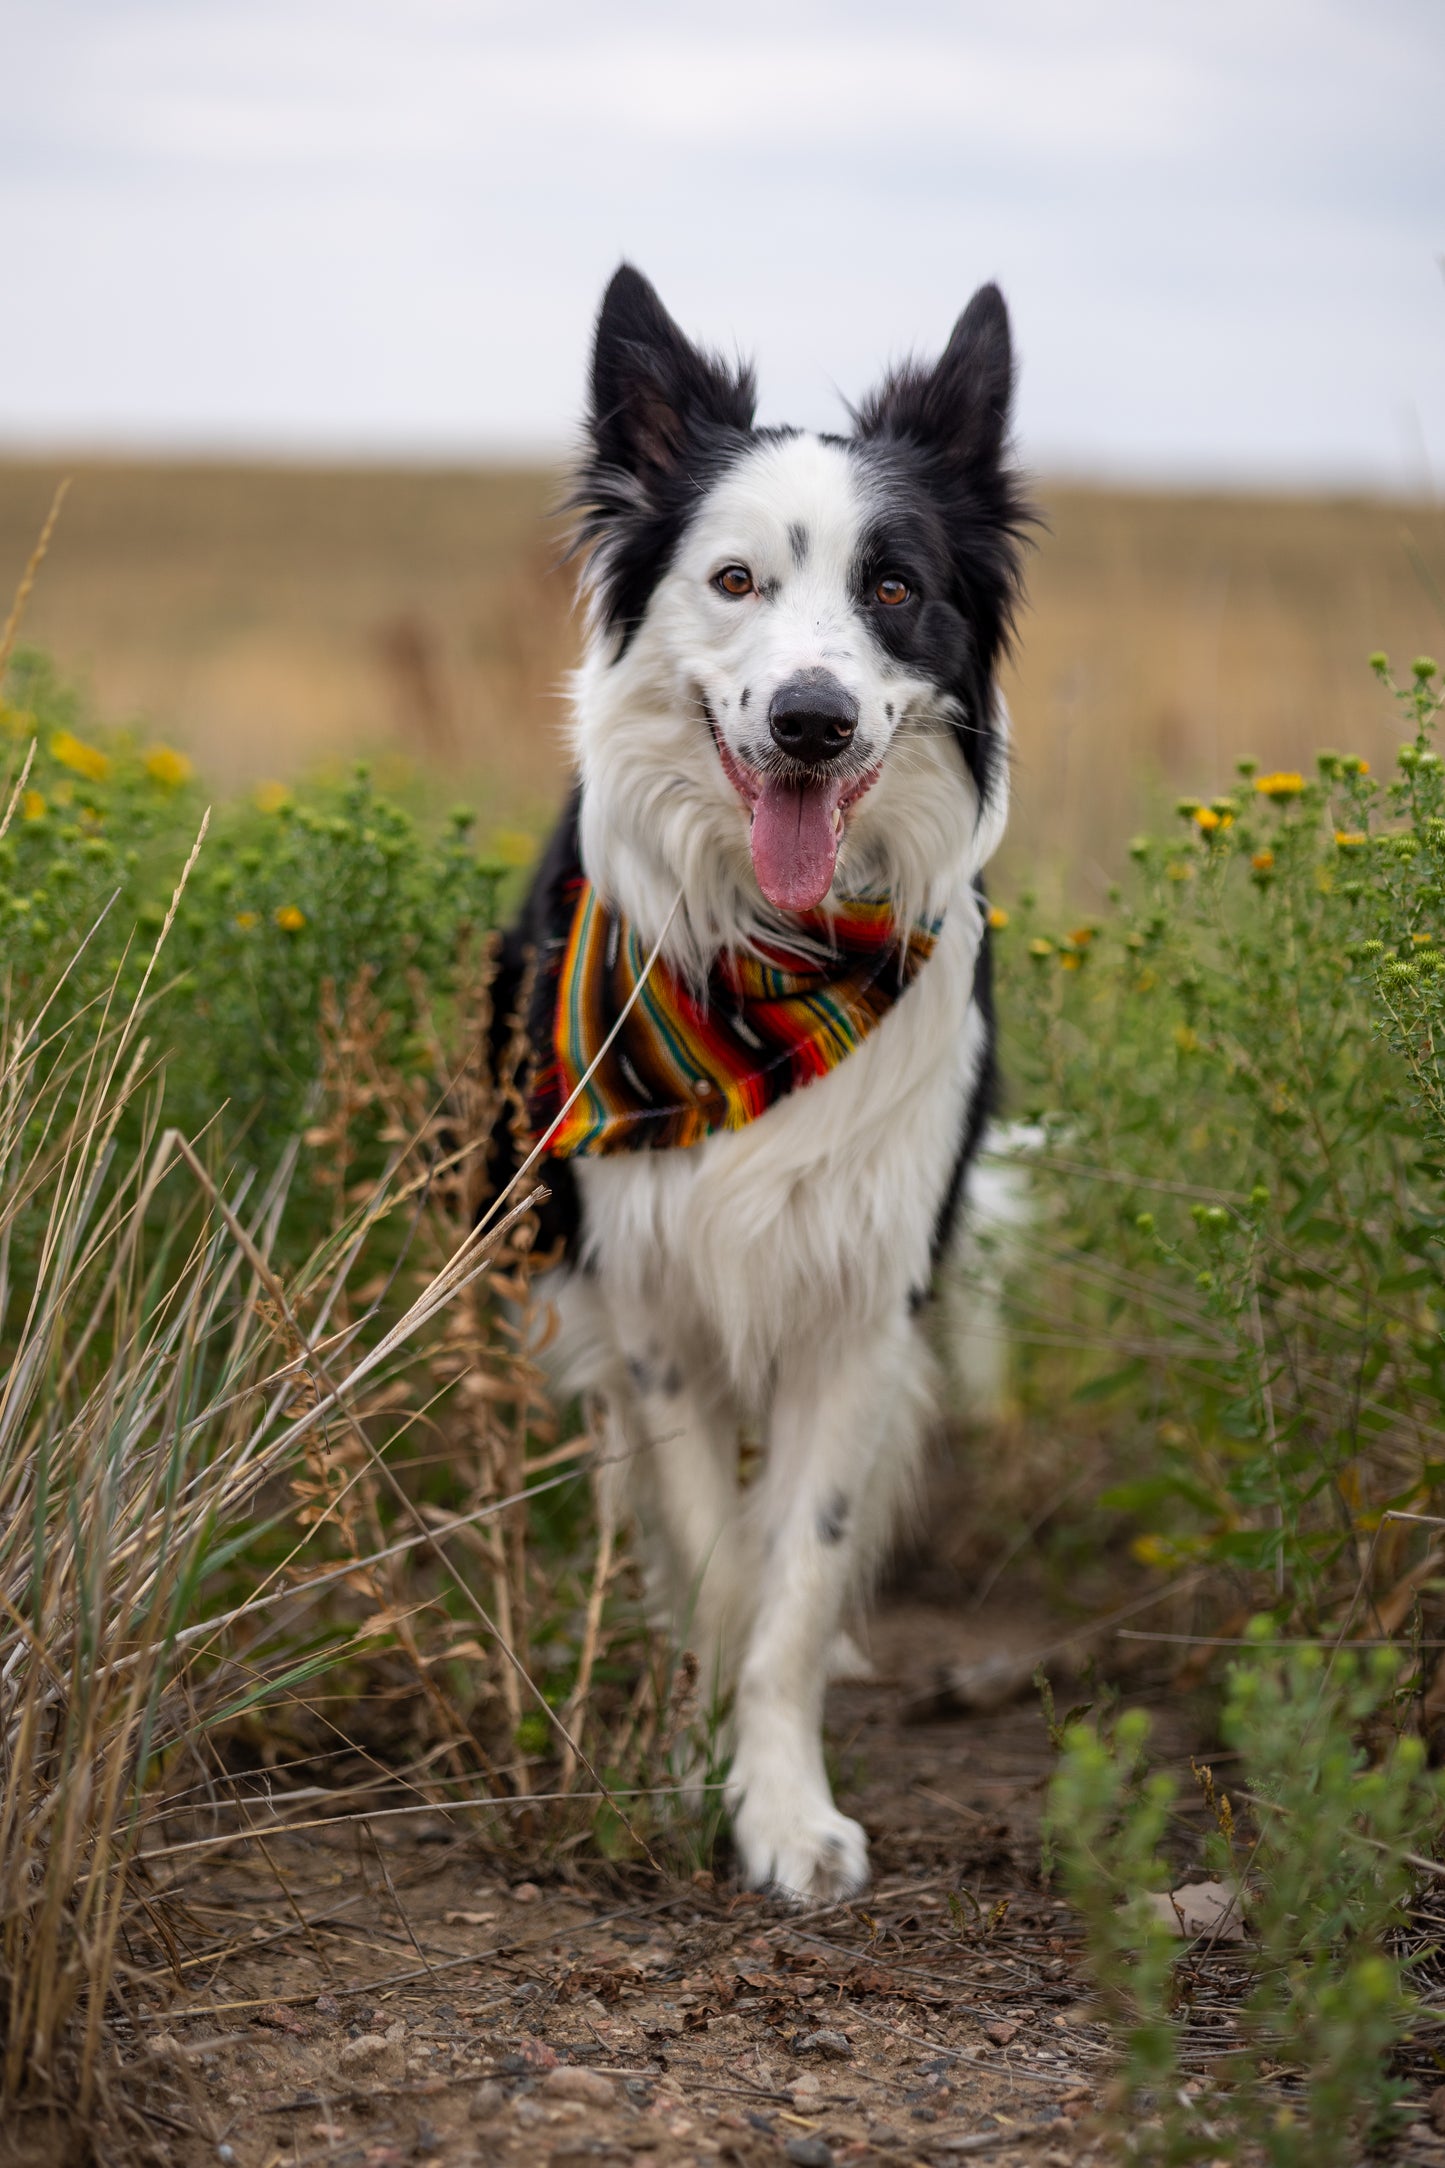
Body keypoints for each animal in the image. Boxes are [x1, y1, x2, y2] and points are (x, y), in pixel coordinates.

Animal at [491, 266, 1035, 1899]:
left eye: (894, 589)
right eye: (733, 581)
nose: (809, 720)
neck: (771, 966)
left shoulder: (862, 1298)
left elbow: (797, 1574)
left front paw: (784, 1804)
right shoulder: (649, 1300)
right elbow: (725, 1565)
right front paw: (698, 1764)